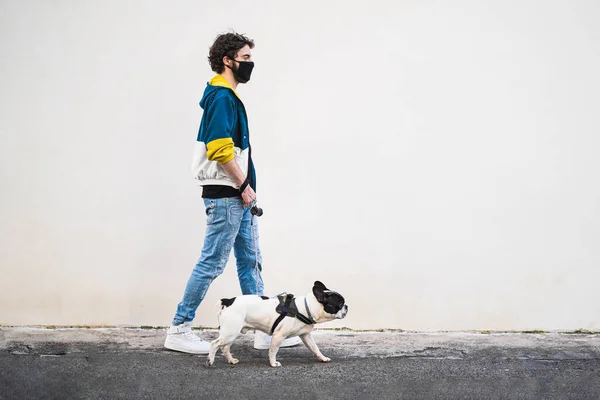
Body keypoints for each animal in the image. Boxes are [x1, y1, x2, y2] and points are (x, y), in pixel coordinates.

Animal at [206, 280, 346, 368]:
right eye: (339, 304)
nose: (347, 307)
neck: (307, 308)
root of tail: (228, 301)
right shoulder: (279, 336)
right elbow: (273, 350)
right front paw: (273, 364)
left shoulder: (306, 336)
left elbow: (315, 348)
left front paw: (322, 358)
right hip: (230, 332)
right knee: (214, 344)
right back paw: (210, 361)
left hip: (231, 333)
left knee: (225, 347)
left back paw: (231, 360)